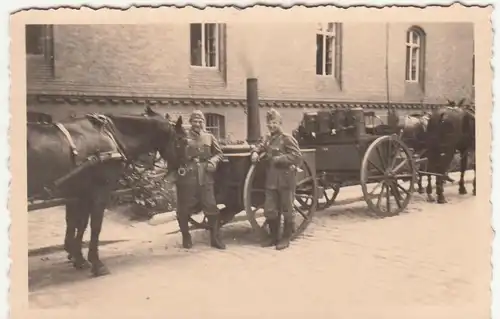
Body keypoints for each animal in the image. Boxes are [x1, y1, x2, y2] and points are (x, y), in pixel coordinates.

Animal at [27, 108, 180, 278]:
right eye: (180, 140)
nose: (179, 169)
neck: (111, 135)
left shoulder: (81, 193)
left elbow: (79, 224)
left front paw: (78, 257)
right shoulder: (99, 191)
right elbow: (94, 226)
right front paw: (96, 263)